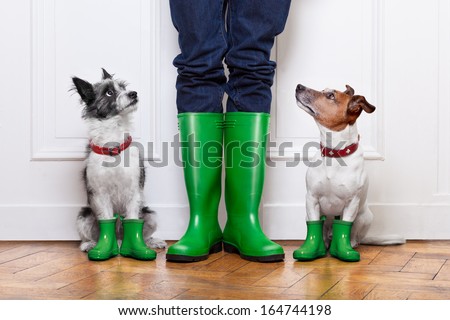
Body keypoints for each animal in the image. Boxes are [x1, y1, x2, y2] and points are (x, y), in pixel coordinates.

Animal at [72, 69, 167, 251]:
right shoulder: (100, 194)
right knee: (89, 235)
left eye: (123, 87)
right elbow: (106, 218)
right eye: (109, 92)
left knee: (145, 232)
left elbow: (132, 219)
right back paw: (90, 244)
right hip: (83, 216)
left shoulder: (134, 192)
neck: (113, 145)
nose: (133, 93)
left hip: (150, 215)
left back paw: (151, 242)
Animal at [296, 84, 404, 262]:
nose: (299, 86)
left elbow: (345, 226)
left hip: (365, 217)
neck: (334, 153)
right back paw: (325, 243)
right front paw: (312, 249)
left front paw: (344, 250)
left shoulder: (351, 203)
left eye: (330, 96)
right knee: (323, 232)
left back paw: (350, 245)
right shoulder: (311, 199)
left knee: (354, 236)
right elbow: (314, 225)